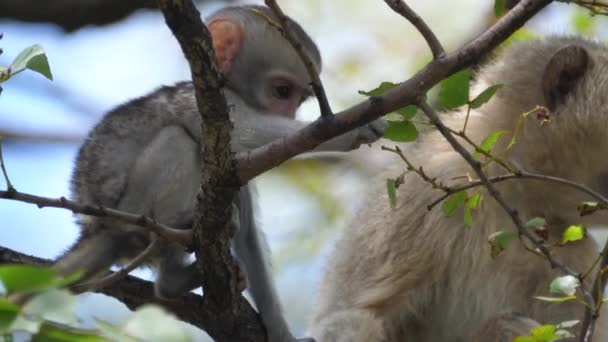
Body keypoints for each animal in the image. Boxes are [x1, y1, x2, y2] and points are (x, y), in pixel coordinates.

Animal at [53, 4, 384, 342]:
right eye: (282, 91)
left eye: (298, 99)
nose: (290, 113)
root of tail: (95, 229)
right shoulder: (207, 104)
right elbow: (245, 132)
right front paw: (353, 128)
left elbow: (249, 234)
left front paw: (280, 333)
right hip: (129, 210)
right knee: (178, 139)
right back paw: (172, 272)